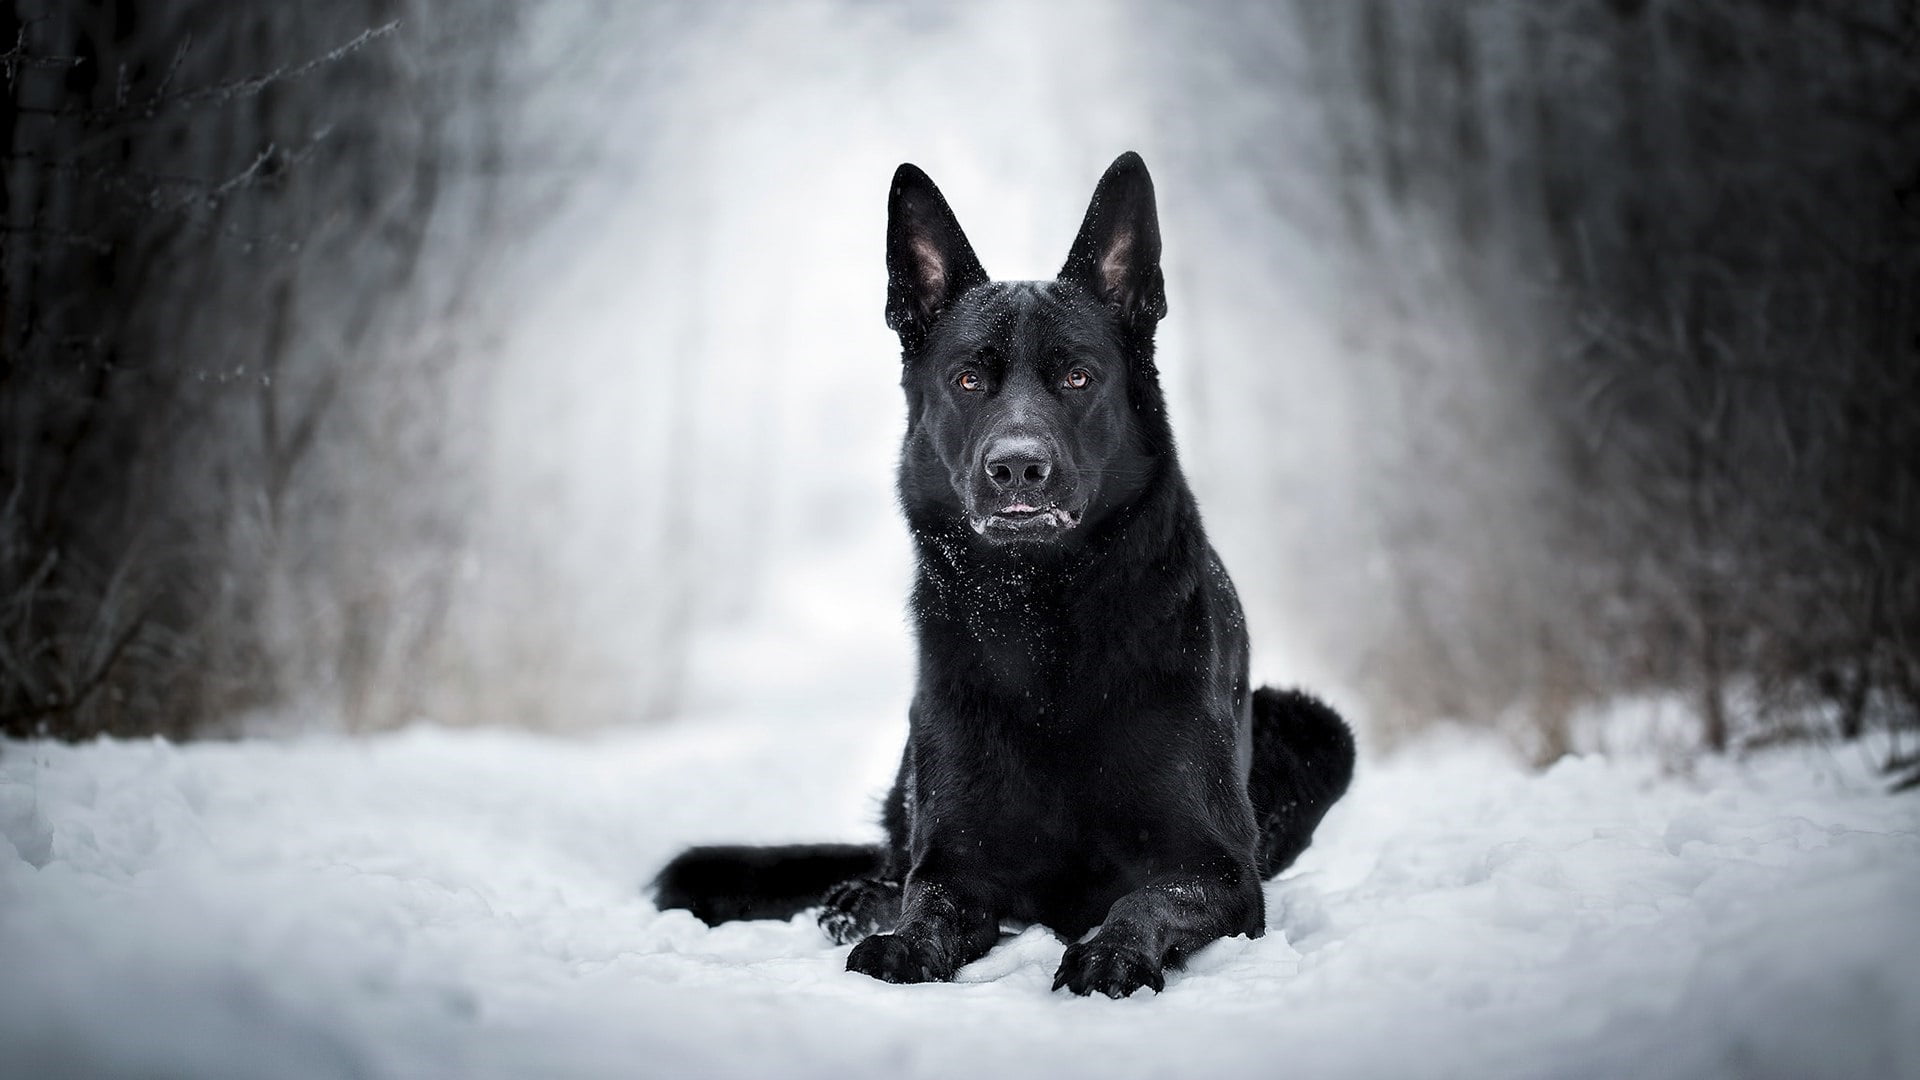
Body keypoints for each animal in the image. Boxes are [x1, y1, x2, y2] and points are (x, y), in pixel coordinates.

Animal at [656, 151, 1351, 991]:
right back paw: (857, 899)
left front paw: (1113, 951)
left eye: (1078, 378)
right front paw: (901, 942)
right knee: (890, 864)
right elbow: (927, 901)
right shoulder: (955, 863)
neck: (1040, 617)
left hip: (1314, 727)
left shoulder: (1218, 872)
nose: (1018, 467)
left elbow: (1149, 897)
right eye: (967, 380)